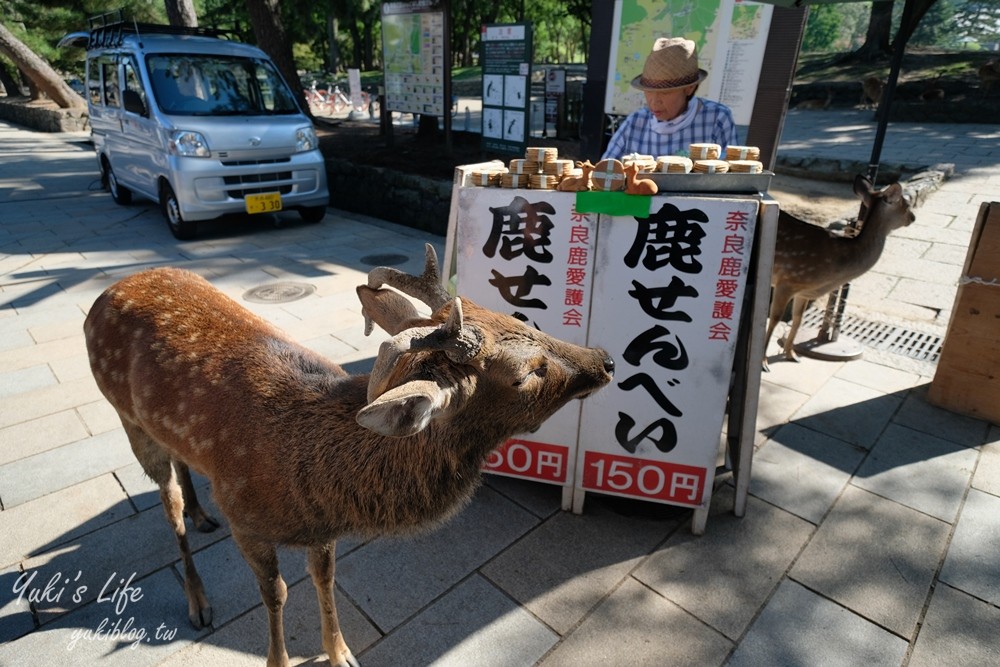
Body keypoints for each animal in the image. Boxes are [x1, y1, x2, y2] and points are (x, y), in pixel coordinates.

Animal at [86, 245, 612, 667]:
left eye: (520, 317)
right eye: (527, 373)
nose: (605, 360)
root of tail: (105, 294)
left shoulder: (320, 530)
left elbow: (325, 579)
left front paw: (340, 653)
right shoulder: (243, 516)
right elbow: (274, 595)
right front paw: (279, 660)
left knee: (182, 467)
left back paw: (201, 516)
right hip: (126, 417)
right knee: (167, 501)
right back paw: (197, 599)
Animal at [764, 175, 916, 368]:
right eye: (906, 204)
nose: (913, 217)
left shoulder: (804, 291)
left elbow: (798, 319)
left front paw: (792, 354)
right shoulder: (787, 280)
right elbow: (774, 318)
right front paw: (764, 363)